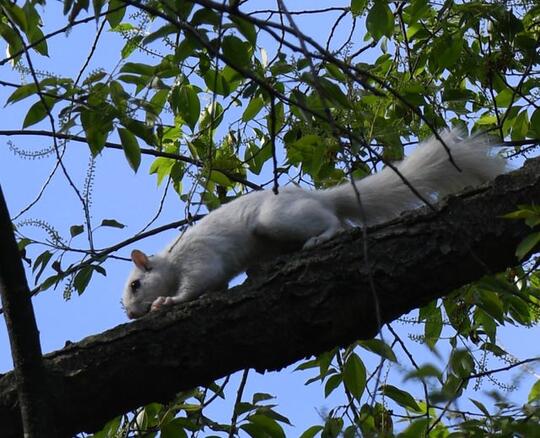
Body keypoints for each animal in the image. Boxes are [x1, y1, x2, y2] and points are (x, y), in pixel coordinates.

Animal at [122, 130, 506, 318]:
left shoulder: (198, 257)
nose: (130, 315)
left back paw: (321, 238)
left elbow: (200, 282)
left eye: (136, 286)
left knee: (334, 222)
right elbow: (214, 285)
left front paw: (167, 302)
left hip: (277, 219)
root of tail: (319, 197)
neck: (171, 261)